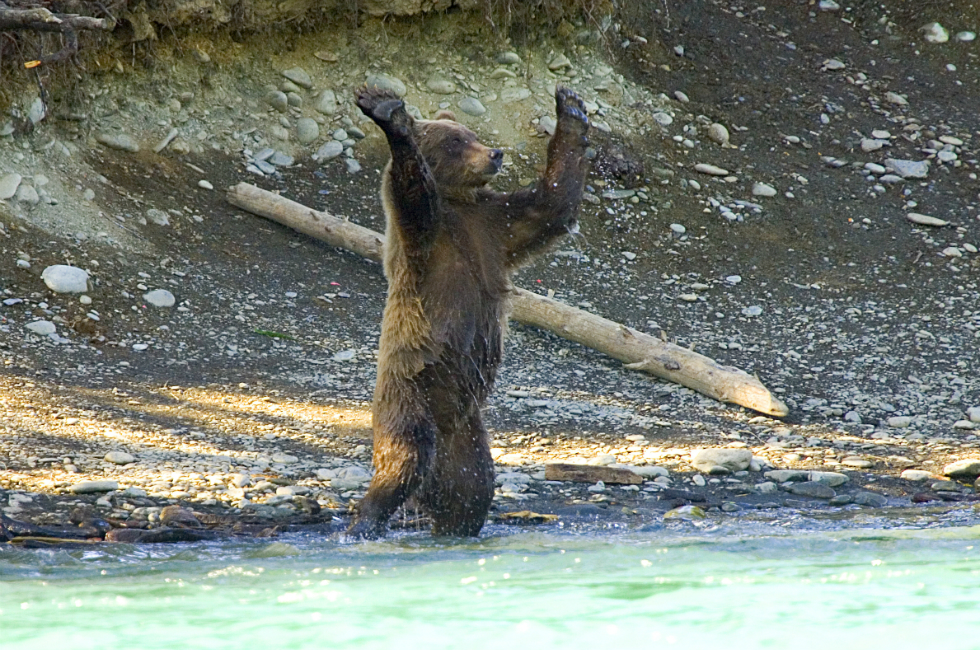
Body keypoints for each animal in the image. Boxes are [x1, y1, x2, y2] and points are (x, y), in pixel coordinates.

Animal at [348, 82, 588, 536]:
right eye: (455, 142)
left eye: (471, 134)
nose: (495, 153)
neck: (458, 203)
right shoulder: (427, 239)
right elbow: (413, 189)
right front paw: (388, 112)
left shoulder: (494, 225)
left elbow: (552, 204)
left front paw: (572, 108)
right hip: (409, 397)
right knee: (402, 462)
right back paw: (364, 521)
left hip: (468, 434)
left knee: (473, 487)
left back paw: (456, 527)